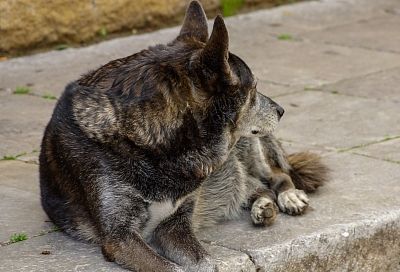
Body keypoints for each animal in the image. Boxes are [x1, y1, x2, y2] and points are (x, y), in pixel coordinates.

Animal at [39, 1, 328, 270]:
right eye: (254, 88)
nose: (281, 110)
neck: (158, 149)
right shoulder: (120, 237)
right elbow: (169, 266)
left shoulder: (175, 226)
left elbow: (206, 262)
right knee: (254, 186)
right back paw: (263, 206)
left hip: (250, 148)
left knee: (276, 175)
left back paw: (288, 197)